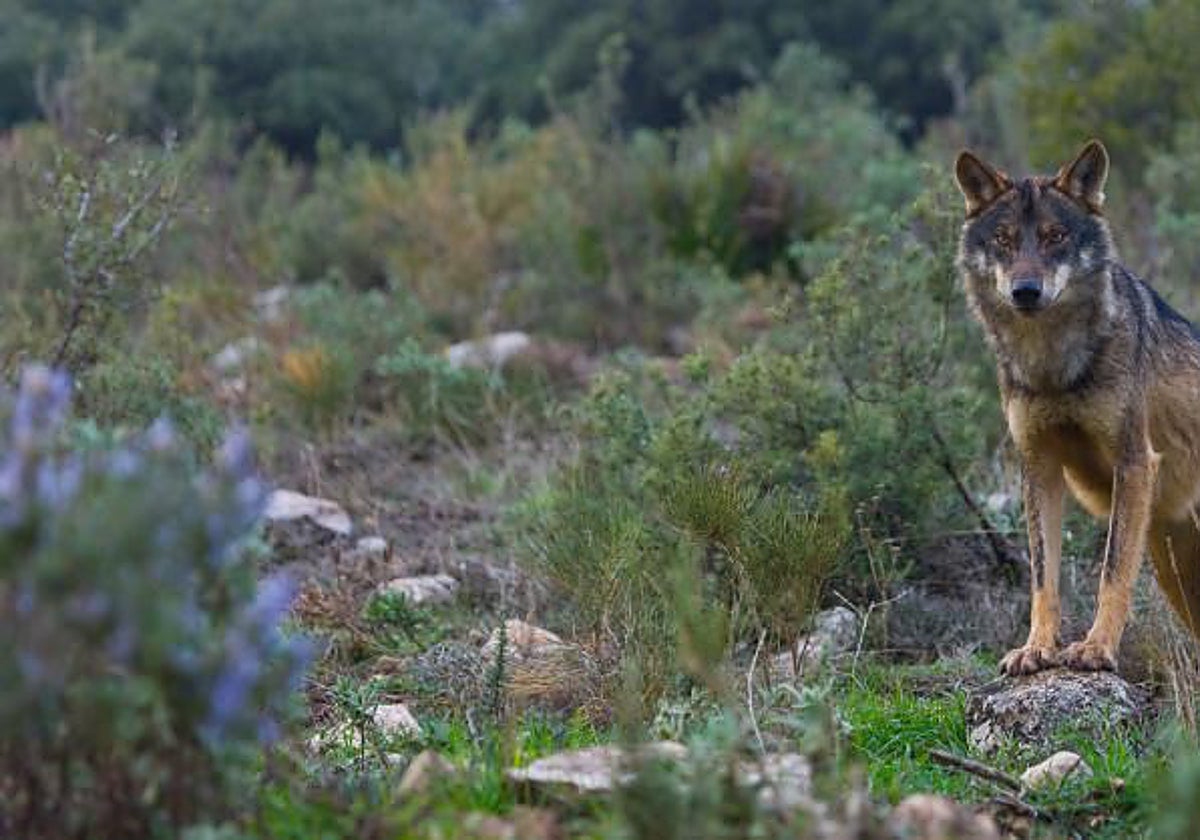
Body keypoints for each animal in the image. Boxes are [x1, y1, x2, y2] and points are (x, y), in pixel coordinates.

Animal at [954, 140, 1200, 676]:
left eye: (1056, 237)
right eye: (1004, 240)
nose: (1026, 291)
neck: (1053, 367)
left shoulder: (1134, 463)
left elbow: (1112, 573)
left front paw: (1095, 648)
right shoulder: (1039, 468)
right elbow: (1042, 579)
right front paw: (1036, 648)